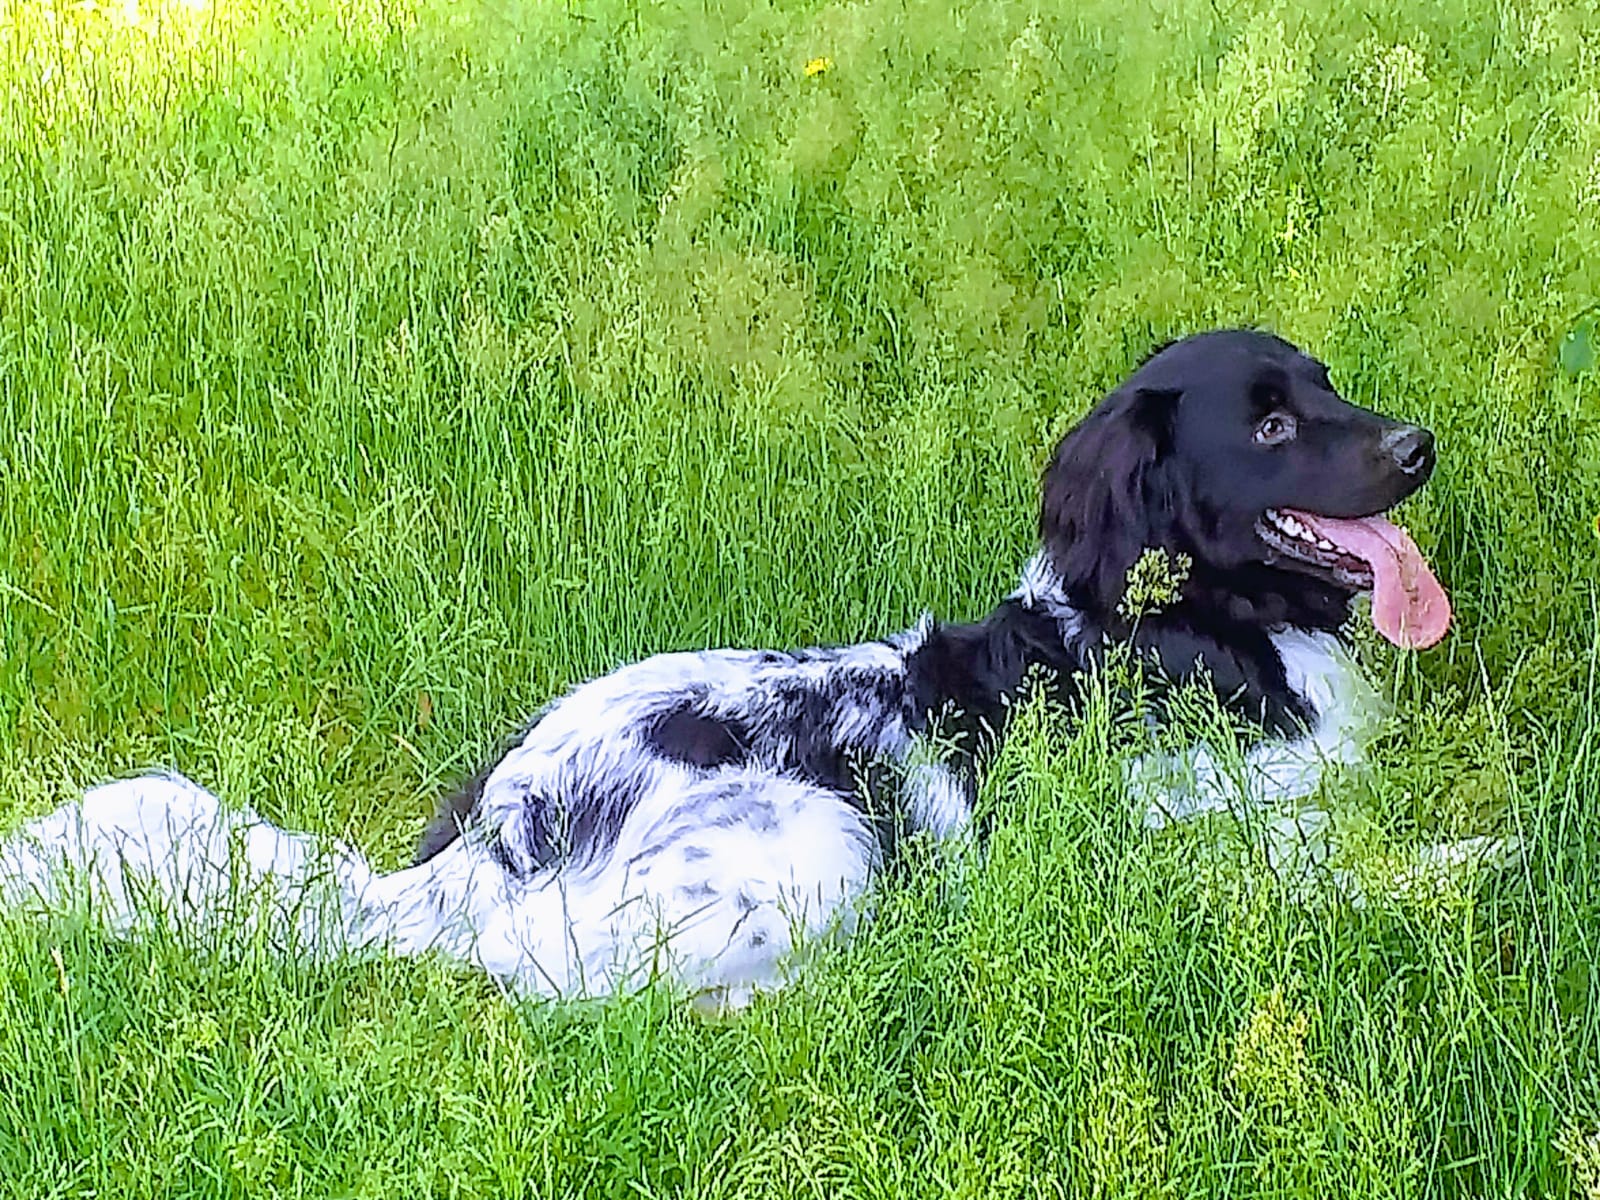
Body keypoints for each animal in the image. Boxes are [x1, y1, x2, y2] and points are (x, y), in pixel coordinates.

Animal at [0, 330, 1456, 1004]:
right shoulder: (1203, 861)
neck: (1182, 629)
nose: (1419, 444)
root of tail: (491, 833)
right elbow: (1406, 867)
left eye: (1327, 381)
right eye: (1267, 425)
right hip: (822, 838)